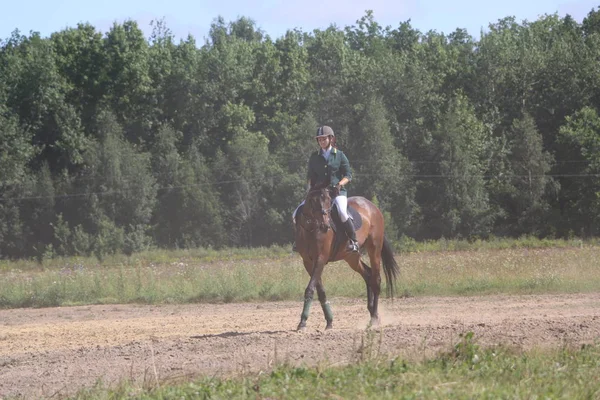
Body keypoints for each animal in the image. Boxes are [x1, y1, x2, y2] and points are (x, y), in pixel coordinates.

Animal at [294, 184, 400, 332]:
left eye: (329, 201)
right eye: (313, 201)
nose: (325, 226)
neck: (311, 229)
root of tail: (372, 206)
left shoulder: (320, 259)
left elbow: (310, 288)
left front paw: (302, 322)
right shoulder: (308, 262)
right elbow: (320, 291)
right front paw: (329, 321)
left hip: (374, 249)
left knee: (376, 279)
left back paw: (374, 318)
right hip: (351, 257)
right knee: (368, 274)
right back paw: (372, 311)